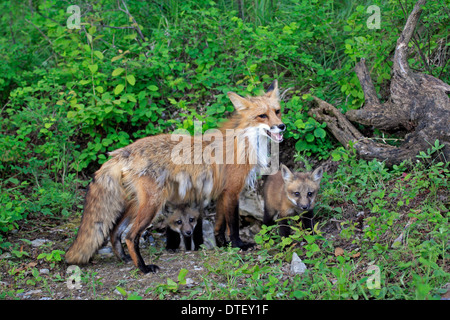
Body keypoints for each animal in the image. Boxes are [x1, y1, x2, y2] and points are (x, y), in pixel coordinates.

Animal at [65, 80, 284, 272]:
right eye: (262, 116)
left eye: (277, 112)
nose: (282, 127)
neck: (245, 143)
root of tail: (122, 151)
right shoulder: (232, 191)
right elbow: (233, 225)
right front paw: (239, 245)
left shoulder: (222, 193)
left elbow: (219, 226)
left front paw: (222, 245)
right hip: (153, 204)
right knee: (130, 236)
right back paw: (143, 268)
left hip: (136, 204)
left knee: (114, 231)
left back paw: (124, 259)